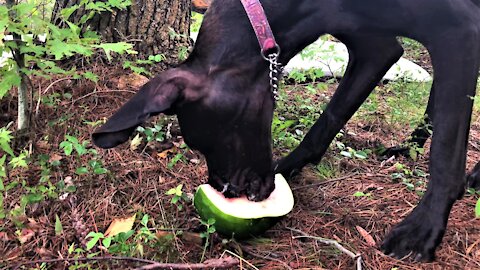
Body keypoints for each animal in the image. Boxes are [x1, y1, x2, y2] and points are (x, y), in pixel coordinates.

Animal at [93, 0, 480, 262]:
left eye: (219, 135)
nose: (226, 191)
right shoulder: (375, 46)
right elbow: (330, 116)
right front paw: (291, 166)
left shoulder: (458, 29)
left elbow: (446, 150)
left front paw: (422, 230)